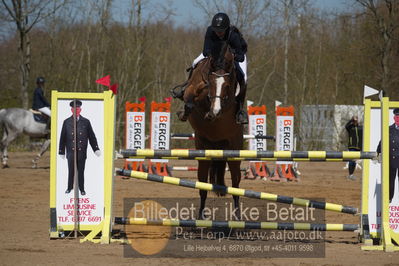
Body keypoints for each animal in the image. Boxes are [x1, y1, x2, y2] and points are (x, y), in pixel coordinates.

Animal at [177, 41, 244, 219]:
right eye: (213, 83)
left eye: (226, 85)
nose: (215, 111)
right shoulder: (194, 89)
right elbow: (192, 94)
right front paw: (186, 109)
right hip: (203, 149)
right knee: (203, 185)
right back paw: (201, 215)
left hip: (234, 149)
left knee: (236, 183)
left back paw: (237, 216)